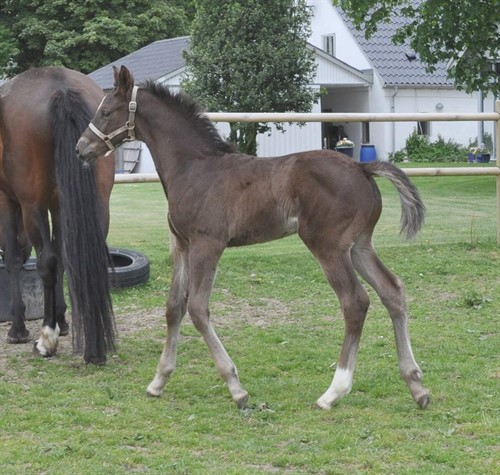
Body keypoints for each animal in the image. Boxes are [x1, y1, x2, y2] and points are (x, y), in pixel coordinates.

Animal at [0, 66, 115, 364]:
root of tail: (61, 87)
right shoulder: (59, 204)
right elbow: (65, 257)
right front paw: (63, 322)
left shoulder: (8, 202)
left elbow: (14, 260)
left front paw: (18, 328)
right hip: (99, 201)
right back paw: (93, 345)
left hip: (33, 206)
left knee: (47, 262)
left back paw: (46, 339)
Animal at [77, 64, 430, 410]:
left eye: (106, 111)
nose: (81, 148)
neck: (193, 168)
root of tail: (362, 168)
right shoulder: (183, 245)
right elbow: (174, 306)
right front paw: (158, 381)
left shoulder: (208, 244)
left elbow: (198, 308)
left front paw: (236, 388)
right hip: (358, 245)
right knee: (392, 290)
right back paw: (416, 385)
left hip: (328, 246)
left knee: (355, 302)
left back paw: (334, 391)